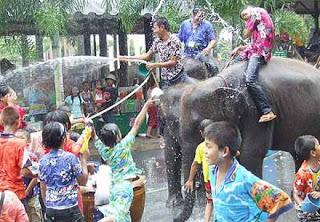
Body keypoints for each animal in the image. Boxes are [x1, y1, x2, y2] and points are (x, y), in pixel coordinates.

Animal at [160, 56, 320, 220]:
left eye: (203, 125)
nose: (174, 218)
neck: (220, 83)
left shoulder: (255, 113)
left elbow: (250, 154)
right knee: (299, 154)